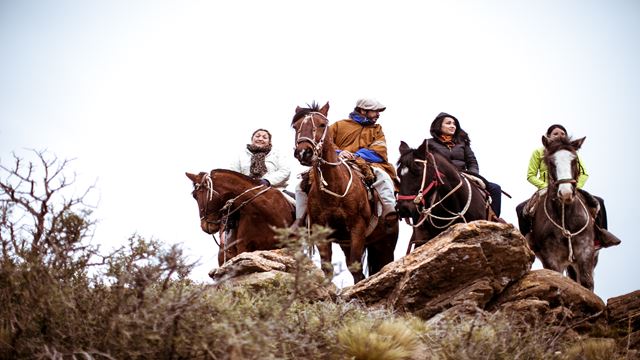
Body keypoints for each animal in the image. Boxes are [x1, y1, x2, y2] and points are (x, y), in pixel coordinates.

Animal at [292, 102, 400, 284]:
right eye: (296, 126)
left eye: (322, 124)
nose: (304, 152)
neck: (335, 190)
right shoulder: (322, 233)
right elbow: (327, 268)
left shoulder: (357, 228)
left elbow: (356, 269)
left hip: (385, 243)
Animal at [528, 136, 596, 292]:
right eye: (551, 162)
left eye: (574, 160)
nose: (565, 193)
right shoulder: (551, 257)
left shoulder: (586, 250)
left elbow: (586, 283)